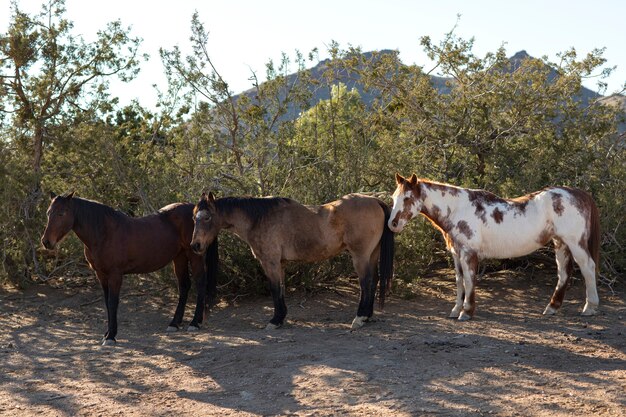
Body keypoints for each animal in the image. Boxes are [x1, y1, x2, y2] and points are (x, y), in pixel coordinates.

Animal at [40, 192, 217, 344]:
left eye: (61, 213)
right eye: (48, 213)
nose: (46, 242)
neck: (104, 233)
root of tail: (193, 210)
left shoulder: (115, 275)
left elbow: (113, 303)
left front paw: (111, 336)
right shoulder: (101, 275)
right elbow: (107, 303)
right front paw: (107, 333)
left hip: (194, 254)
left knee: (200, 283)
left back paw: (194, 322)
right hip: (179, 257)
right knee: (184, 285)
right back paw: (174, 323)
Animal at [188, 190, 392, 330]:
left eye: (207, 217)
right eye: (193, 217)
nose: (195, 245)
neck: (260, 219)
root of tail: (375, 200)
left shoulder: (269, 262)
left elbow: (274, 289)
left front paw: (274, 320)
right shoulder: (280, 263)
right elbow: (281, 289)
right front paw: (281, 318)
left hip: (360, 256)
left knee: (366, 283)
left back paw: (359, 318)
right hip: (372, 255)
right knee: (374, 281)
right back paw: (368, 316)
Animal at [388, 174, 596, 320]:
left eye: (407, 198)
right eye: (393, 197)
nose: (393, 224)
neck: (457, 209)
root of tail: (578, 193)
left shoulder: (468, 253)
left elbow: (469, 280)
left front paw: (466, 312)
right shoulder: (456, 254)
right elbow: (459, 281)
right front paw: (455, 310)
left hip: (575, 243)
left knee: (588, 268)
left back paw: (590, 308)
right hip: (560, 243)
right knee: (563, 273)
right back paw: (551, 308)